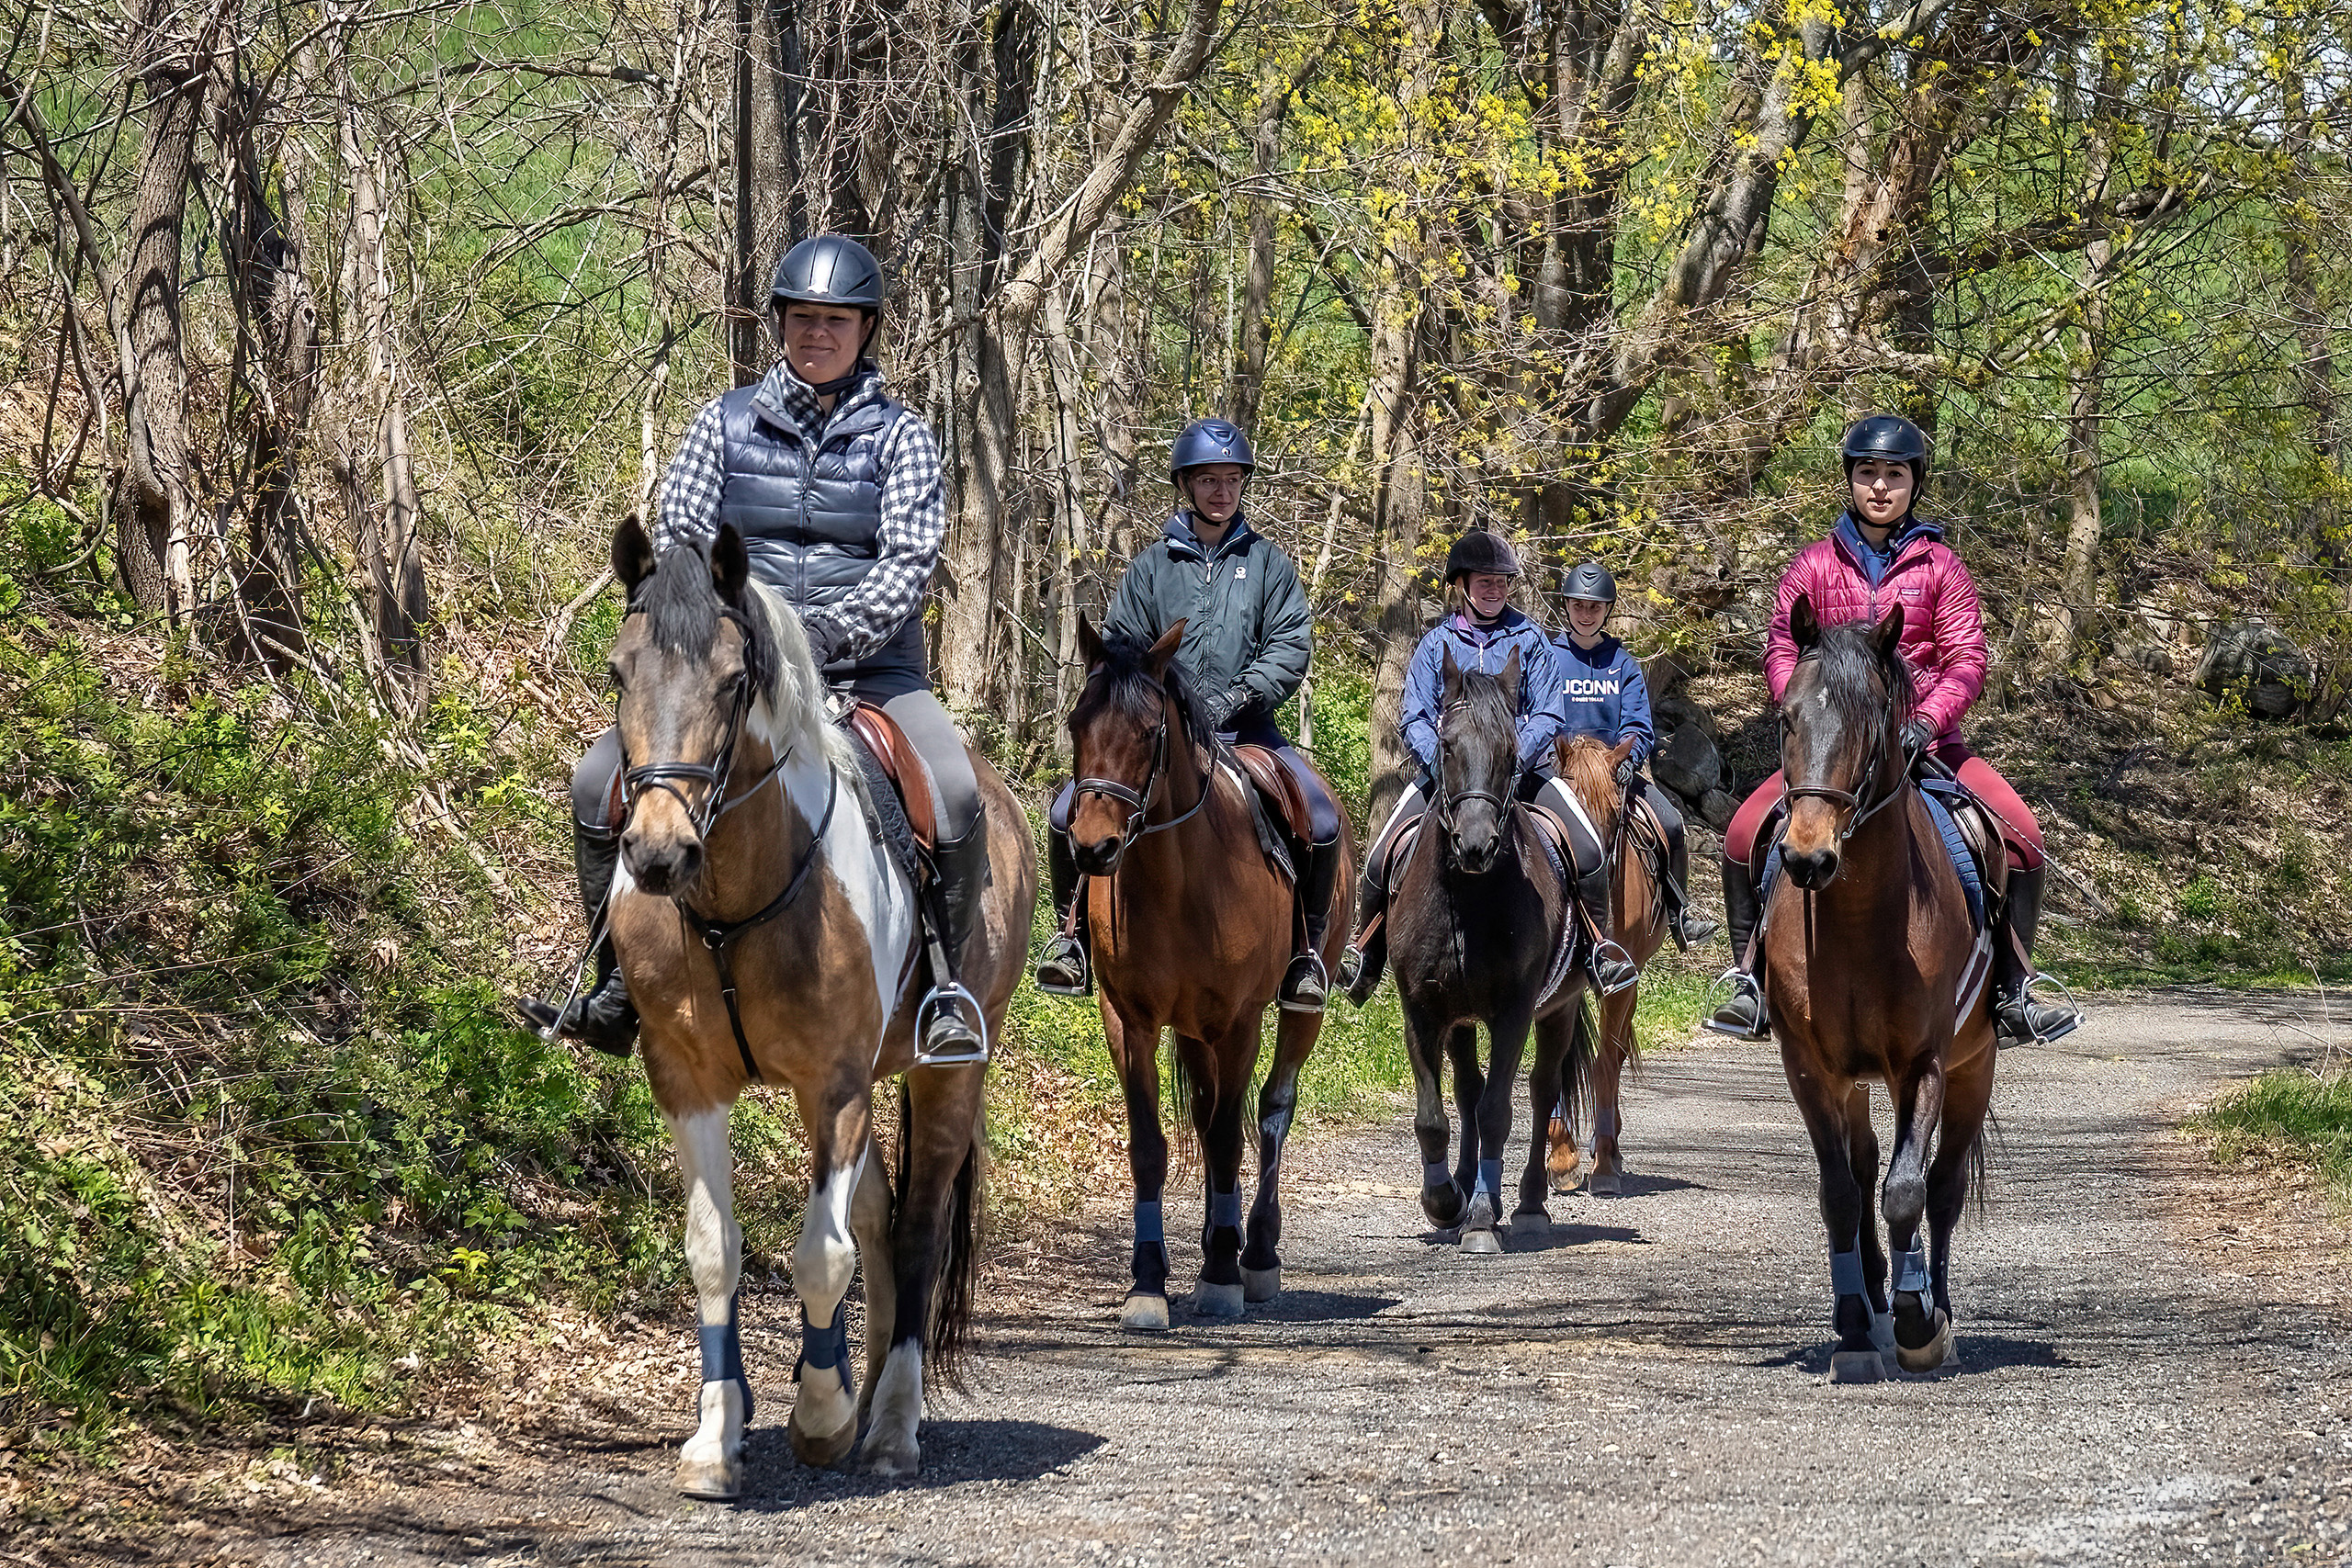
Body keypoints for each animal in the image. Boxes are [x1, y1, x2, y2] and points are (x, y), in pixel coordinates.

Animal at [602, 522, 1035, 1495]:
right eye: (619, 671)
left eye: (735, 681)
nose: (657, 853)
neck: (733, 898)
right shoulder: (688, 1082)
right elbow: (715, 1250)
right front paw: (717, 1439)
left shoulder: (834, 1085)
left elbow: (820, 1254)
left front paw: (819, 1413)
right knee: (875, 1215)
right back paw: (864, 1393)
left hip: (945, 1073)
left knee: (914, 1228)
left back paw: (888, 1424)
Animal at [1068, 620, 1363, 1335]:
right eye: (1076, 723)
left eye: (1150, 730)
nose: (1093, 848)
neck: (1176, 877)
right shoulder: (1131, 1021)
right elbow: (1151, 1145)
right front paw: (1148, 1281)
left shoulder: (1239, 1021)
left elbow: (1232, 1135)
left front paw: (1225, 1274)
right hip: (1192, 1029)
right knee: (1203, 1117)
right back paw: (1211, 1242)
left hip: (1294, 1012)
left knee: (1272, 1110)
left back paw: (1253, 1250)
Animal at [1383, 649, 1589, 1250]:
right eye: (1448, 745)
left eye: (1511, 751)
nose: (1475, 845)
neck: (1467, 900)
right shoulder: (1423, 1009)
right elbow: (1434, 1117)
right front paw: (1445, 1200)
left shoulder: (1515, 1011)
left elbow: (1500, 1110)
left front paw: (1477, 1216)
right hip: (1461, 1018)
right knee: (1469, 1092)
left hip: (1560, 1008)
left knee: (1542, 1092)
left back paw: (1525, 1203)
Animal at [1543, 728, 1674, 1194]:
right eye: (1566, 802)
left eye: (1616, 812)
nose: (1591, 864)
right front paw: (1562, 1157)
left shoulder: (1620, 981)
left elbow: (1603, 1064)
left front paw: (1601, 1165)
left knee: (1613, 1056)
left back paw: (1610, 1151)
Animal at [1769, 594, 1994, 1382]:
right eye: (1787, 717)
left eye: (1874, 725)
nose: (1807, 857)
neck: (1863, 915)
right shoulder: (1808, 1065)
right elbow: (1842, 1190)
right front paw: (1851, 1321)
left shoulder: (1921, 1065)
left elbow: (1907, 1191)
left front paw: (1918, 1319)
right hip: (1851, 1079)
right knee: (1863, 1166)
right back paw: (1868, 1293)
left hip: (1974, 1067)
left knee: (1944, 1187)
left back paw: (1931, 1302)